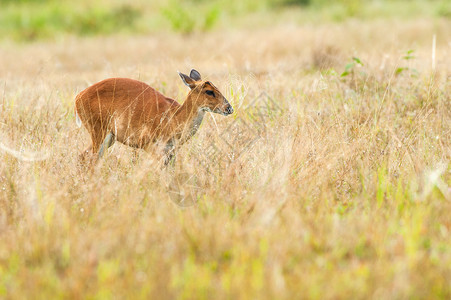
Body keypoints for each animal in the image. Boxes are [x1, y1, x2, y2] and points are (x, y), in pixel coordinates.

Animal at [75, 69, 233, 164]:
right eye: (209, 91)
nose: (229, 108)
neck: (174, 119)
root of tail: (78, 97)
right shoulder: (149, 145)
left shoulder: (171, 152)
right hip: (97, 129)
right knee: (90, 158)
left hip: (109, 137)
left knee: (84, 155)